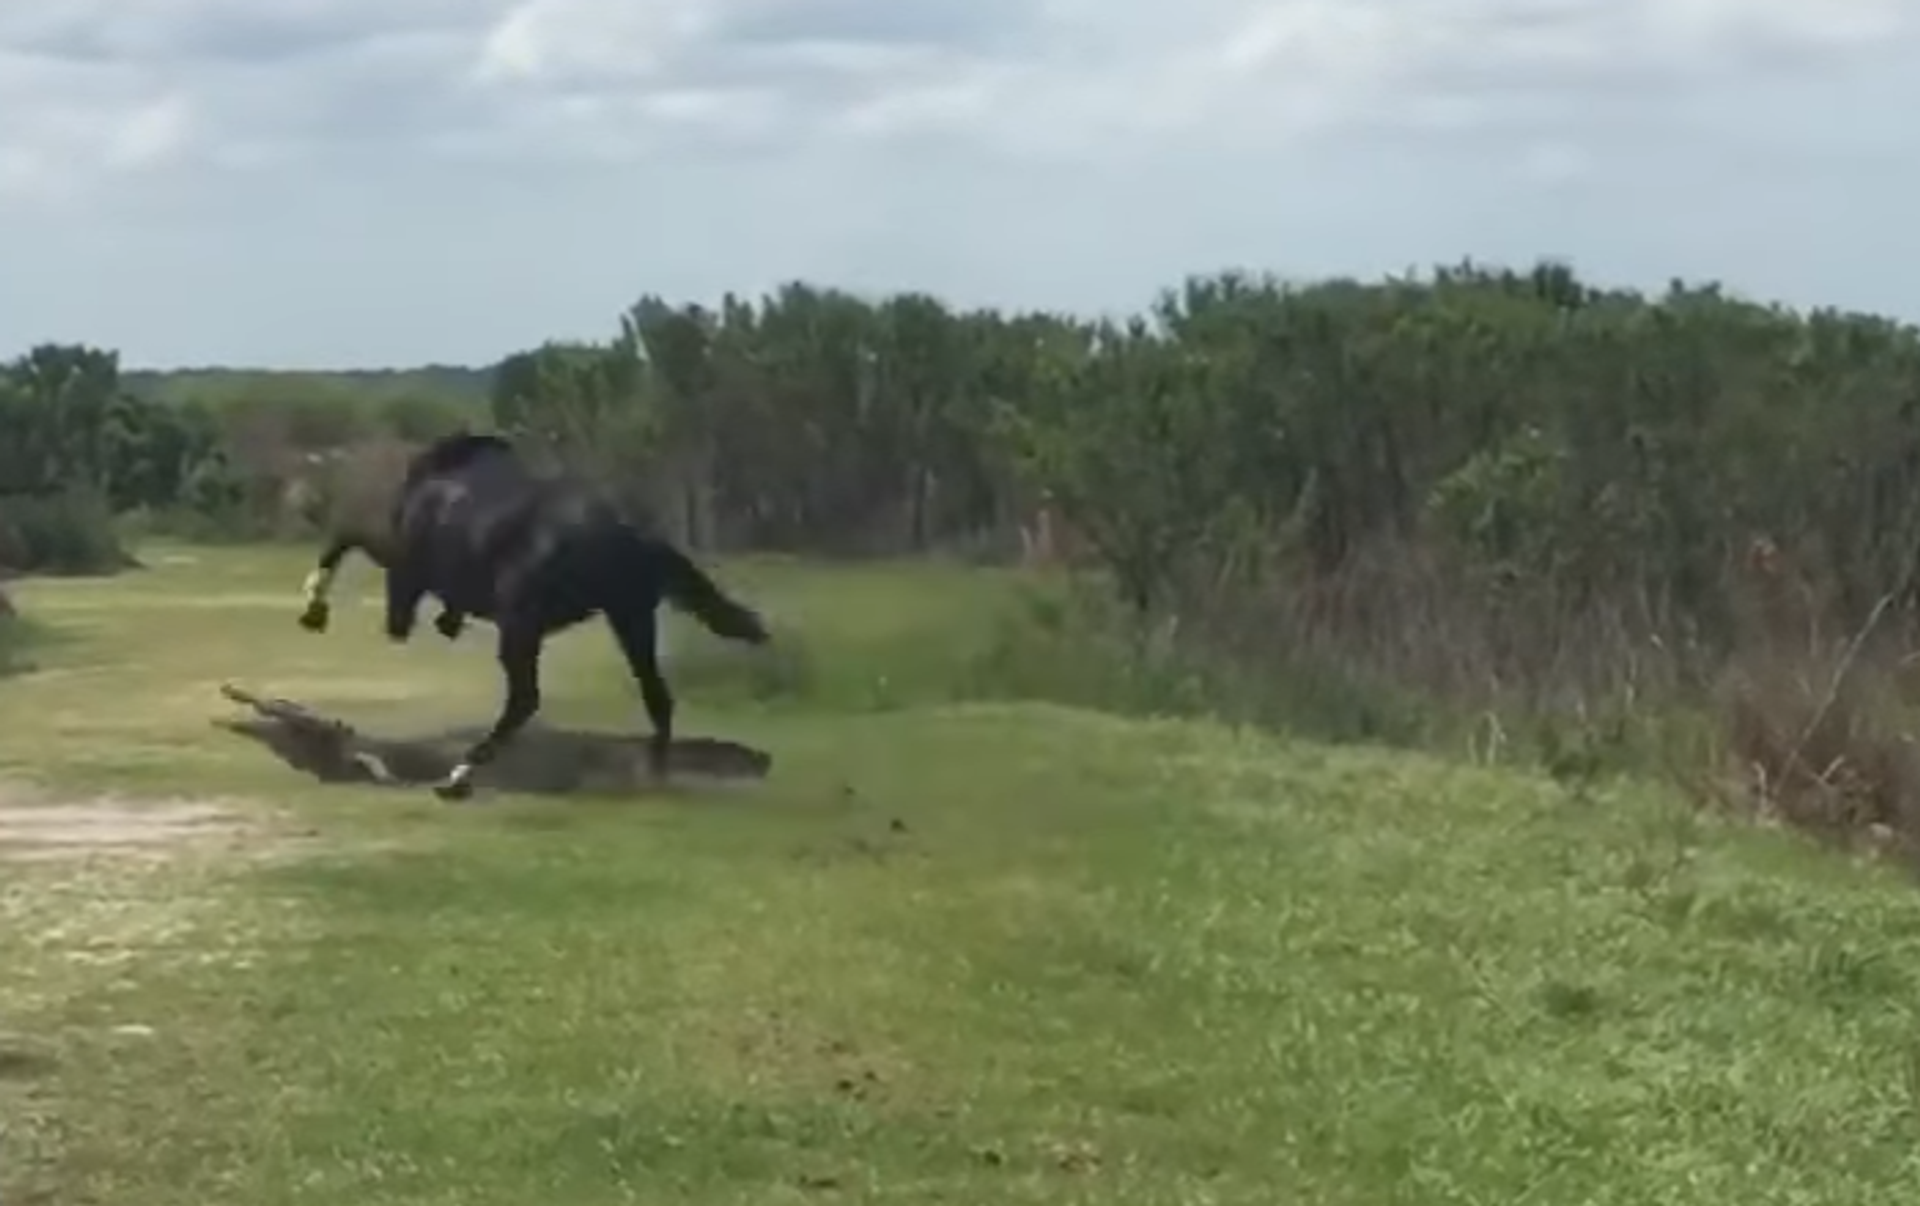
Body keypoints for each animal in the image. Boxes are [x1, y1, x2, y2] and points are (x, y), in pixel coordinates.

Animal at [300, 432, 771, 801]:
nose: (397, 626)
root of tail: (625, 537)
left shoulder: (403, 561)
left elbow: (346, 538)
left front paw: (313, 609)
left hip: (522, 628)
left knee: (524, 700)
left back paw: (459, 777)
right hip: (630, 619)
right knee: (657, 696)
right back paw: (654, 775)